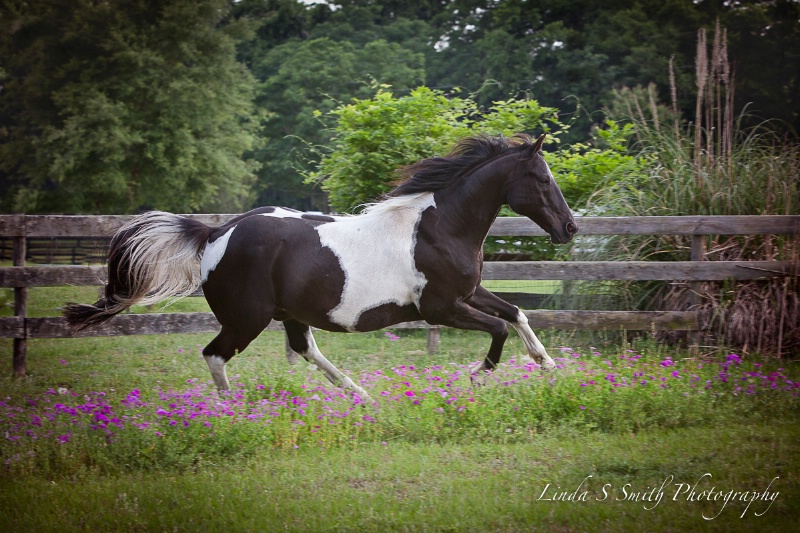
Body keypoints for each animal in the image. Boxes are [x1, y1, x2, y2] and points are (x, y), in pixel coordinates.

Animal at [62, 133, 576, 400]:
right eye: (542, 178)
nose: (570, 228)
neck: (438, 228)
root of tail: (216, 234)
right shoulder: (441, 308)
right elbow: (499, 329)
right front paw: (475, 376)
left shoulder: (467, 294)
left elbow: (516, 313)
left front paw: (548, 365)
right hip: (247, 318)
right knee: (216, 355)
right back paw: (231, 409)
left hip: (289, 314)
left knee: (305, 350)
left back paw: (360, 395)